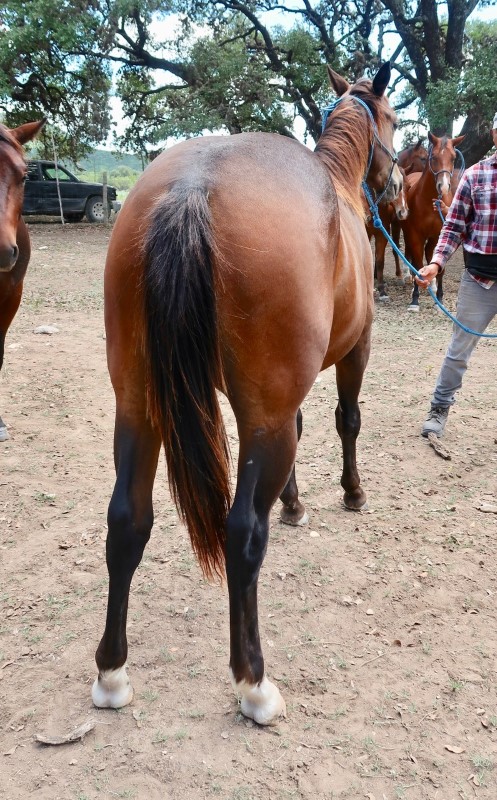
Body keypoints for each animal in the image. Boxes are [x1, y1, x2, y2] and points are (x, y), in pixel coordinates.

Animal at [93, 64, 402, 724]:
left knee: (127, 518)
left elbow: (307, 430)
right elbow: (346, 419)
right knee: (242, 535)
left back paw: (111, 673)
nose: (393, 186)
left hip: (139, 406)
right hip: (262, 415)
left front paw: (293, 501)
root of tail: (193, 185)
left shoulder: (282, 402)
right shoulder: (353, 352)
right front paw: (351, 493)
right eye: (393, 120)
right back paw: (253, 682)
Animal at [398, 131, 464, 310]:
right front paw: (415, 299)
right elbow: (418, 265)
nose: (444, 186)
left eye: (453, 158)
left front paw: (439, 298)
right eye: (432, 157)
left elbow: (438, 265)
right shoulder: (415, 235)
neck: (429, 202)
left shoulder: (438, 235)